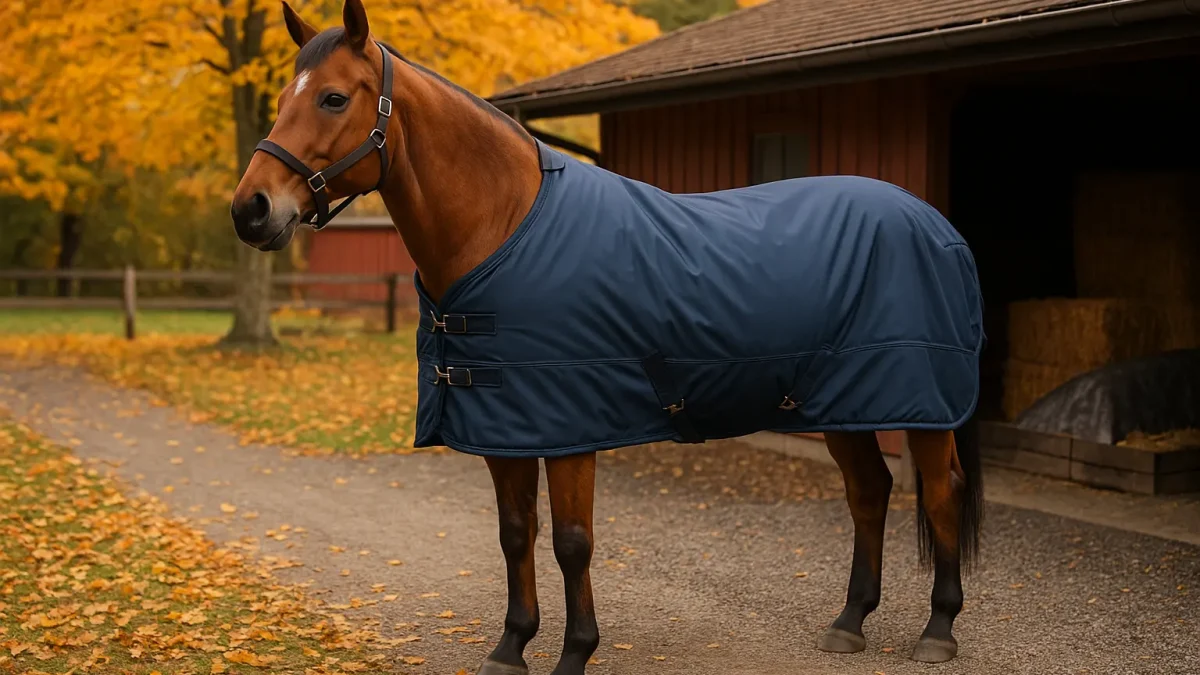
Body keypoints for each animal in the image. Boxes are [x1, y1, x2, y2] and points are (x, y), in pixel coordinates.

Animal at [230, 1, 985, 672]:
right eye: (281, 97)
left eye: (332, 98)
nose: (250, 210)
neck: (506, 227)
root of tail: (934, 223)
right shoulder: (506, 426)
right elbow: (515, 534)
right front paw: (511, 647)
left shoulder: (570, 426)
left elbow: (572, 542)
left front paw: (575, 652)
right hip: (841, 402)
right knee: (870, 492)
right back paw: (850, 620)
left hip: (919, 404)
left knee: (939, 488)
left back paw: (938, 628)